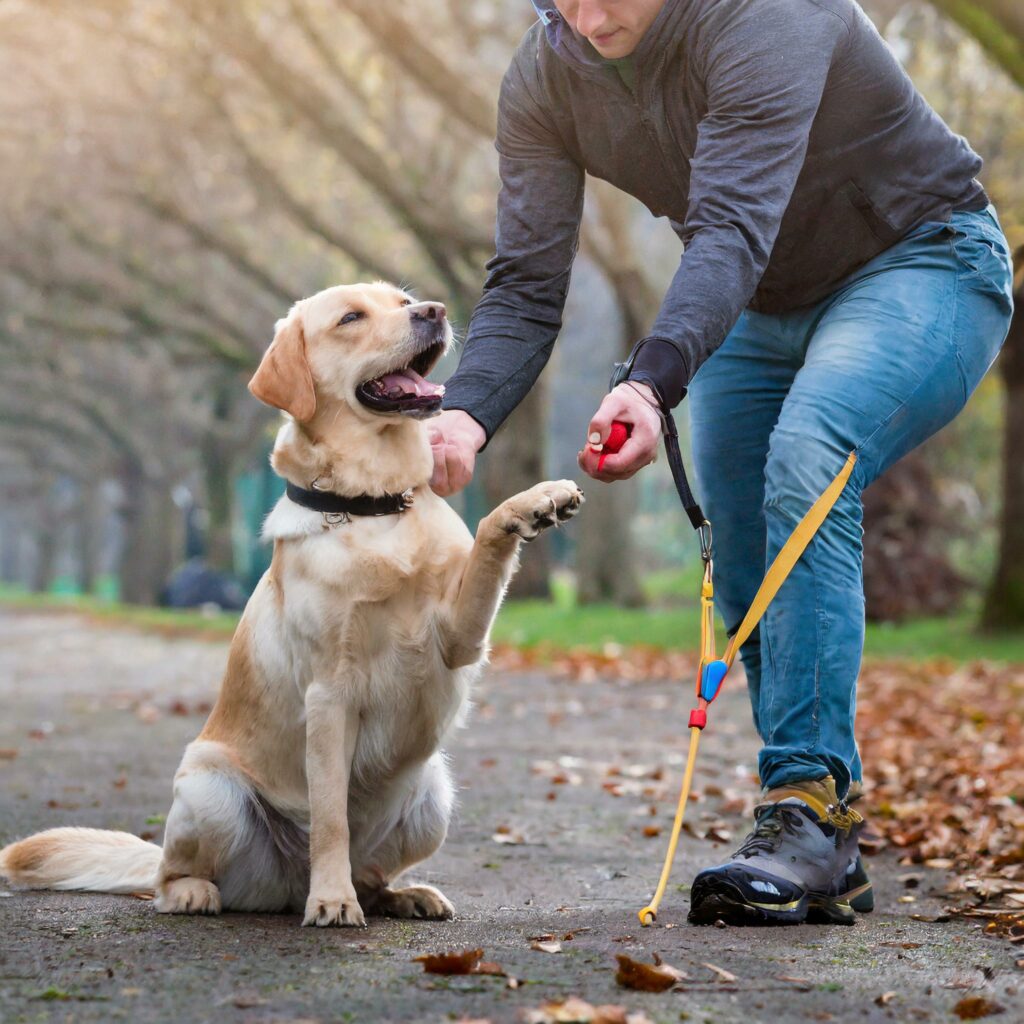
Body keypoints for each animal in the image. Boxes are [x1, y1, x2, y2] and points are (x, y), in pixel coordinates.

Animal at [0, 282, 585, 929]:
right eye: (351, 318)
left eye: (401, 300)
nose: (432, 311)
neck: (374, 505)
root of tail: (283, 885)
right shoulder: (330, 694)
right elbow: (330, 817)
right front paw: (331, 900)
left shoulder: (460, 639)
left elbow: (488, 538)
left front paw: (537, 501)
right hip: (210, 790)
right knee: (170, 875)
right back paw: (206, 892)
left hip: (434, 793)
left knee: (372, 874)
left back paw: (403, 894)